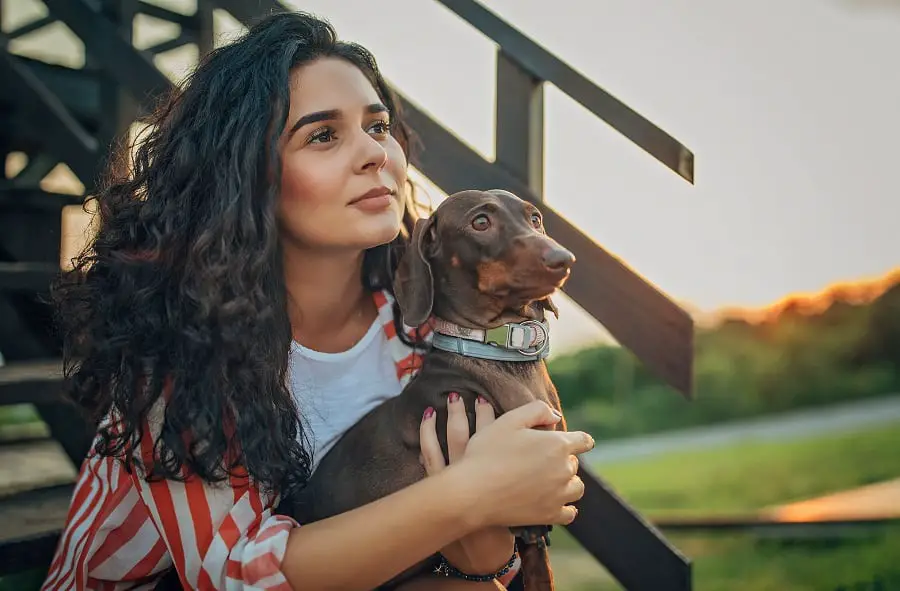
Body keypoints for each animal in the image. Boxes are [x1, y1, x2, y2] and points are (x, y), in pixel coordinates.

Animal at [292, 192, 580, 588]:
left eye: (535, 218)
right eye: (480, 222)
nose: (563, 259)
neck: (502, 361)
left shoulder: (536, 535)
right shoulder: (529, 518)